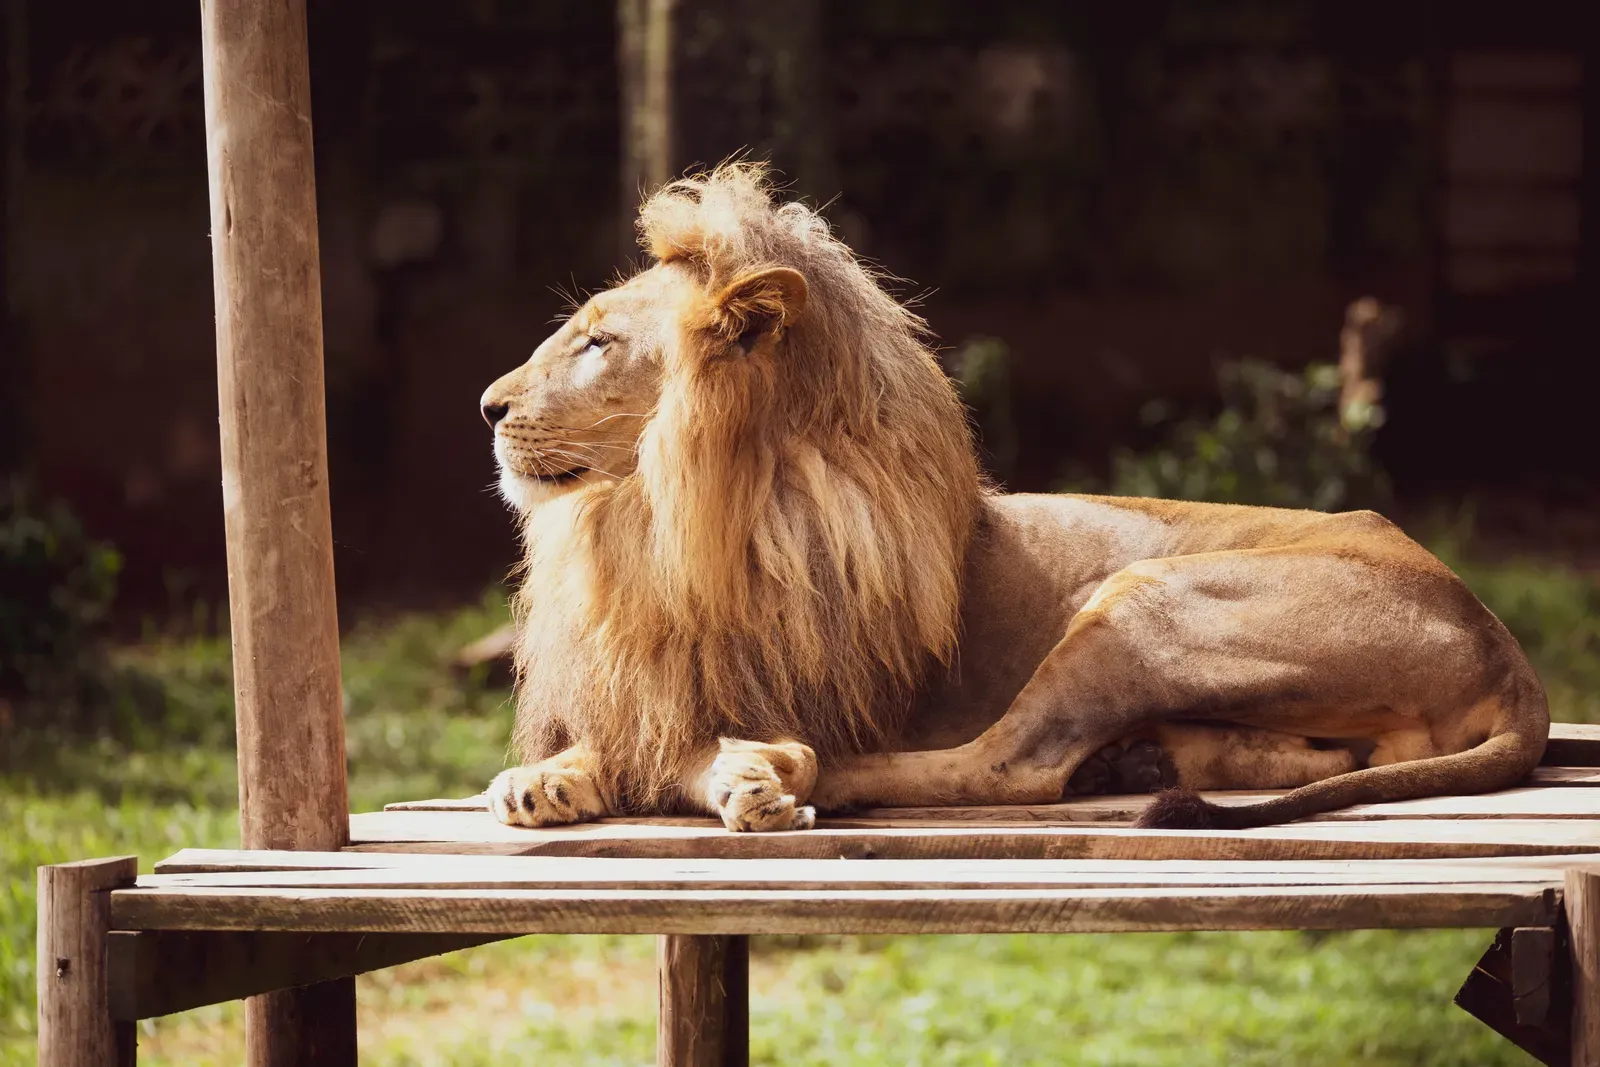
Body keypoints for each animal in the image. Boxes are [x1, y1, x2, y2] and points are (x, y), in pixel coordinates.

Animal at [478, 163, 1548, 834]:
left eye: (598, 342)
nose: (487, 406)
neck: (655, 523)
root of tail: (1502, 642)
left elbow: (686, 747)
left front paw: (733, 769)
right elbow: (614, 738)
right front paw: (545, 780)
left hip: (1142, 597)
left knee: (1008, 761)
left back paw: (807, 766)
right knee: (1328, 761)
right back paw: (1144, 763)